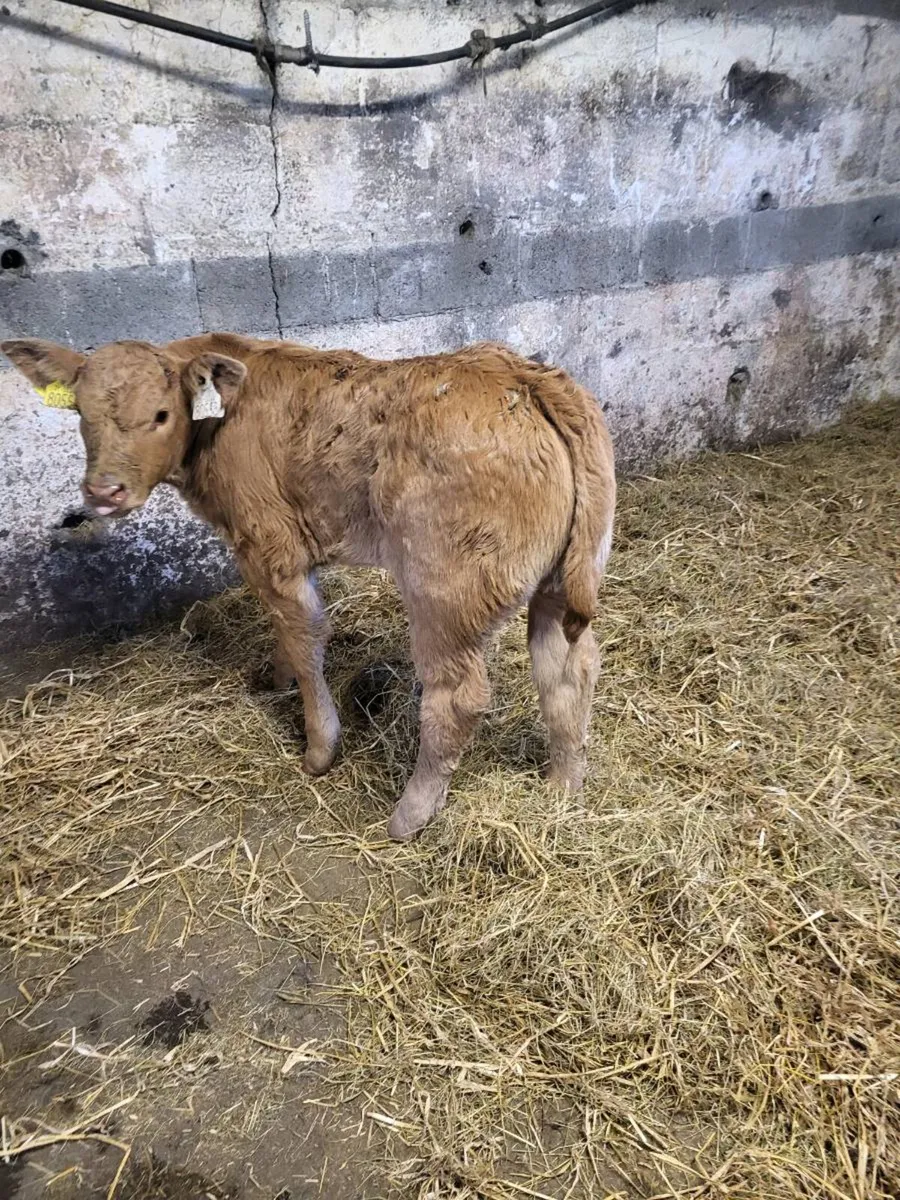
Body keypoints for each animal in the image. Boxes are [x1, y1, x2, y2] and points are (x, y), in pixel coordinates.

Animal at [1, 334, 615, 840]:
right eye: (81, 414)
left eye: (160, 414)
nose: (104, 492)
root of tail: (524, 376)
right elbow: (284, 632)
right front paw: (276, 677)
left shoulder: (268, 544)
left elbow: (305, 636)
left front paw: (320, 749)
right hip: (564, 578)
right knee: (569, 668)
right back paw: (563, 788)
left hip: (445, 589)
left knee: (458, 697)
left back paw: (409, 816)